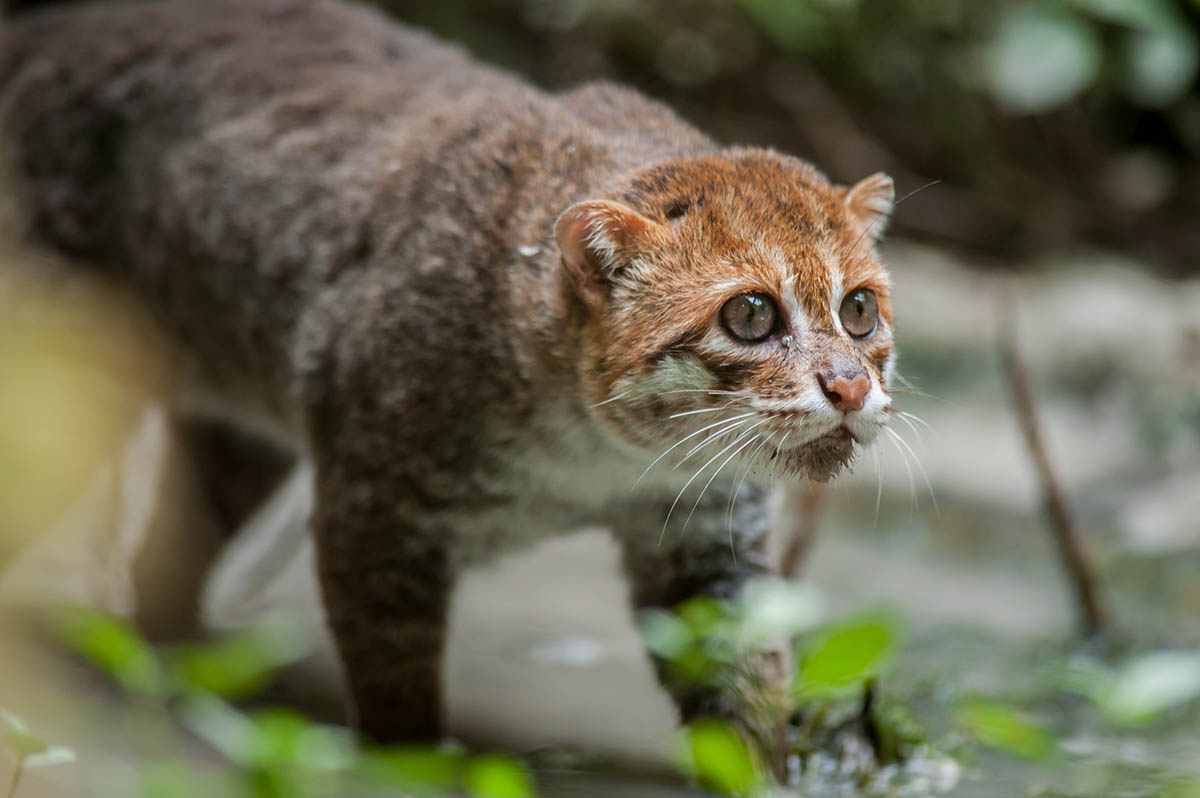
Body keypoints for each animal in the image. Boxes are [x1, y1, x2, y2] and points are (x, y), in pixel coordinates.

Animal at [4, 0, 897, 744]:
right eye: (750, 315)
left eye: (859, 310)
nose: (851, 386)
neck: (593, 459)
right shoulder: (376, 518)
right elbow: (400, 715)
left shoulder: (709, 541)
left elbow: (746, 706)